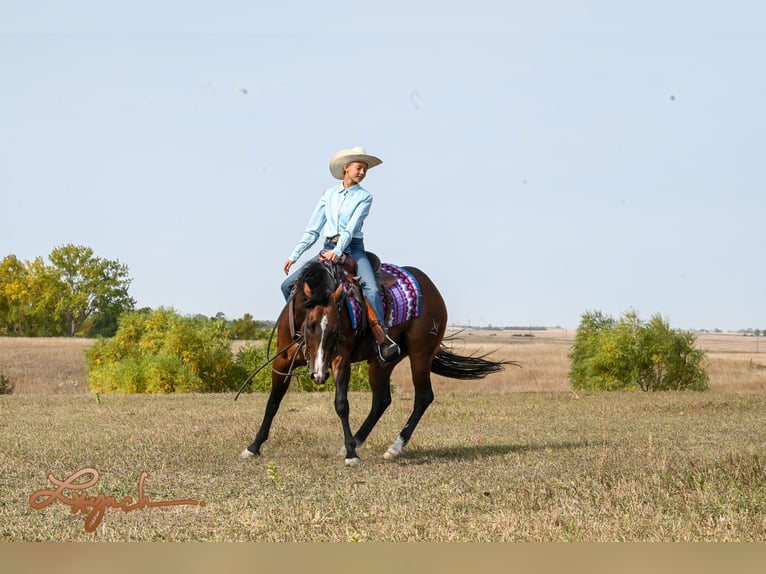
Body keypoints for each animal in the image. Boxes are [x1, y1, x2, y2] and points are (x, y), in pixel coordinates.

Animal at [238, 258, 516, 466]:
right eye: (310, 325)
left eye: (337, 329)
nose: (319, 375)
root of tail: (431, 287)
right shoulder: (282, 362)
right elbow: (273, 402)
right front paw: (253, 446)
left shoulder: (340, 359)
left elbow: (341, 404)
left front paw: (352, 455)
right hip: (383, 362)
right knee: (382, 400)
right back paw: (358, 441)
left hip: (420, 355)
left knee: (423, 397)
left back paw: (394, 447)